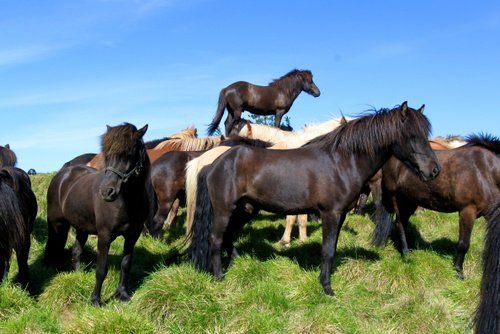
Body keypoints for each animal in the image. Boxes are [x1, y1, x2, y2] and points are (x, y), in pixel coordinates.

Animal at [44, 122, 150, 306]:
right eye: (107, 155)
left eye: (129, 154)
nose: (106, 192)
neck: (129, 202)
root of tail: (63, 173)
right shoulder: (105, 236)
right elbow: (101, 269)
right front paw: (95, 300)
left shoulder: (132, 236)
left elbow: (126, 264)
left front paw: (122, 294)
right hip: (57, 224)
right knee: (55, 246)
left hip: (81, 227)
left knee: (76, 251)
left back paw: (78, 275)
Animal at [189, 102, 440, 294]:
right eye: (412, 136)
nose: (434, 171)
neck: (341, 162)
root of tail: (214, 163)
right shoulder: (330, 214)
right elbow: (327, 251)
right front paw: (327, 288)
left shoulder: (340, 216)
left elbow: (332, 249)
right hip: (224, 210)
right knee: (216, 239)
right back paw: (219, 277)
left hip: (246, 209)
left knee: (229, 236)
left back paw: (237, 262)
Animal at [372, 133, 500, 280]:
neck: (485, 169)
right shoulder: (467, 211)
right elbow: (463, 243)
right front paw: (458, 271)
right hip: (397, 199)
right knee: (399, 224)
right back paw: (406, 254)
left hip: (410, 201)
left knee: (402, 223)